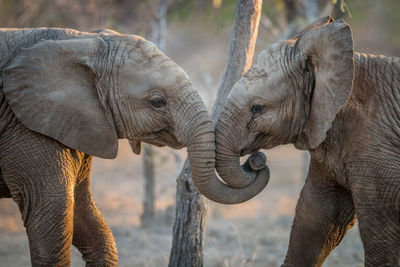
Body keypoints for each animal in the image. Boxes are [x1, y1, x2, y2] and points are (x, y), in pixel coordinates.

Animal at [0, 27, 268, 267]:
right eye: (157, 102)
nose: (257, 159)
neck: (80, 41)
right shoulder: (26, 129)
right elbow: (55, 212)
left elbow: (85, 214)